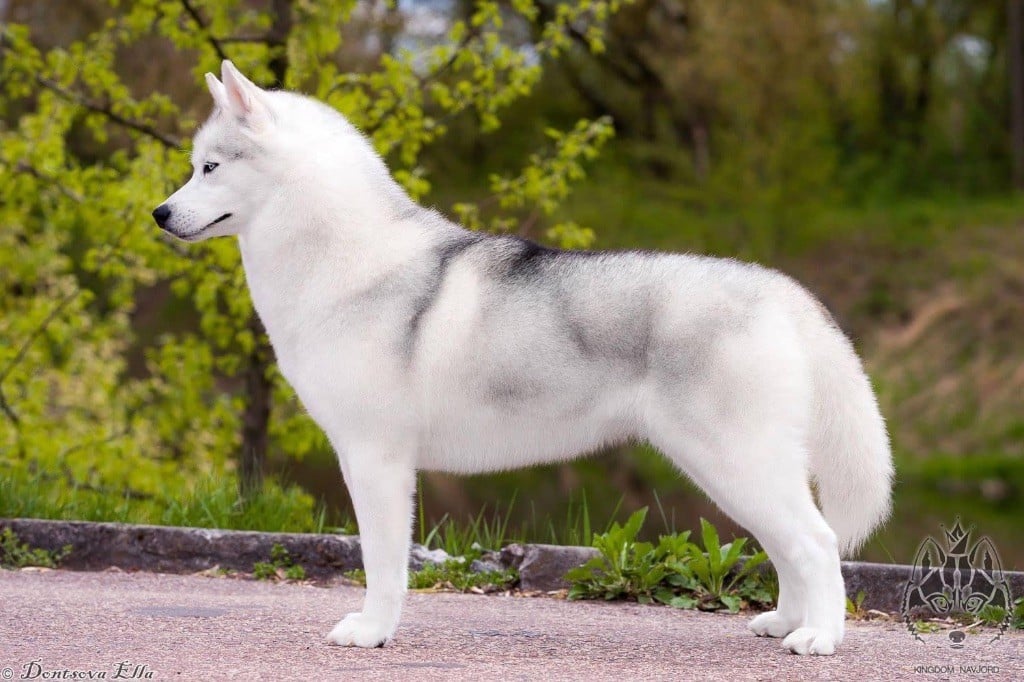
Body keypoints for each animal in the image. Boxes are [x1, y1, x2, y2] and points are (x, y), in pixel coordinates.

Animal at [153, 61, 893, 656]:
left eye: (210, 167)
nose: (159, 214)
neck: (342, 261)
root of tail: (781, 290)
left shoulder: (375, 458)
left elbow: (383, 565)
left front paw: (372, 631)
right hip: (735, 470)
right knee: (790, 546)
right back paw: (786, 623)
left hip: (735, 461)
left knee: (817, 543)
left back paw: (820, 638)